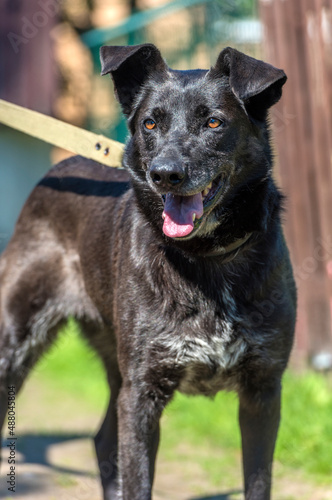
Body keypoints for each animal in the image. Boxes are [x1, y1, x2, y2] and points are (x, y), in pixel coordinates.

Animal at [0, 45, 296, 498]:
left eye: (214, 122)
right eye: (150, 123)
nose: (165, 174)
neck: (204, 259)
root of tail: (57, 170)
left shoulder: (263, 392)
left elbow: (258, 481)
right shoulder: (141, 394)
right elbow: (138, 481)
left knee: (104, 440)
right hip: (16, 341)